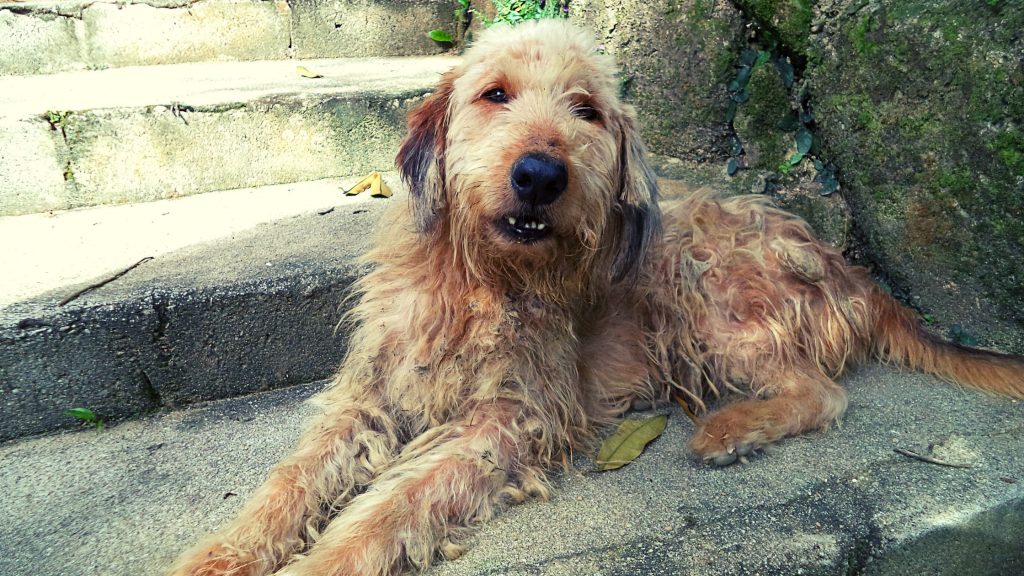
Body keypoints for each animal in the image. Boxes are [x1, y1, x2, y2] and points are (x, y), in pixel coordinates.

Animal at [172, 17, 1024, 573]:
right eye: (494, 94)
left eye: (585, 110)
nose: (540, 175)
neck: (479, 280)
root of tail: (848, 267)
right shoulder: (370, 396)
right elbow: (291, 479)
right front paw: (222, 554)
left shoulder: (507, 420)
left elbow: (391, 504)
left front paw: (325, 560)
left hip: (699, 282)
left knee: (822, 392)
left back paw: (732, 429)